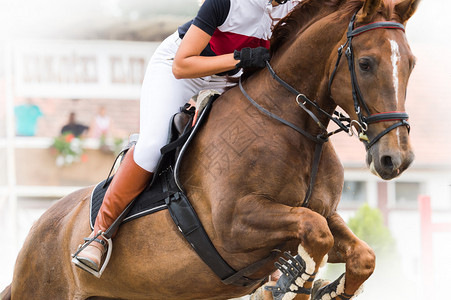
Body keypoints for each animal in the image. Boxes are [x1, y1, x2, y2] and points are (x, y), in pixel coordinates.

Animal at [2, 0, 420, 298]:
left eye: (411, 64)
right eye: (365, 64)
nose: (395, 159)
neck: (292, 126)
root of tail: (42, 226)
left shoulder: (325, 212)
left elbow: (360, 254)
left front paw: (320, 287)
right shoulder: (234, 225)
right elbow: (315, 234)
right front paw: (293, 281)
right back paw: (93, 248)